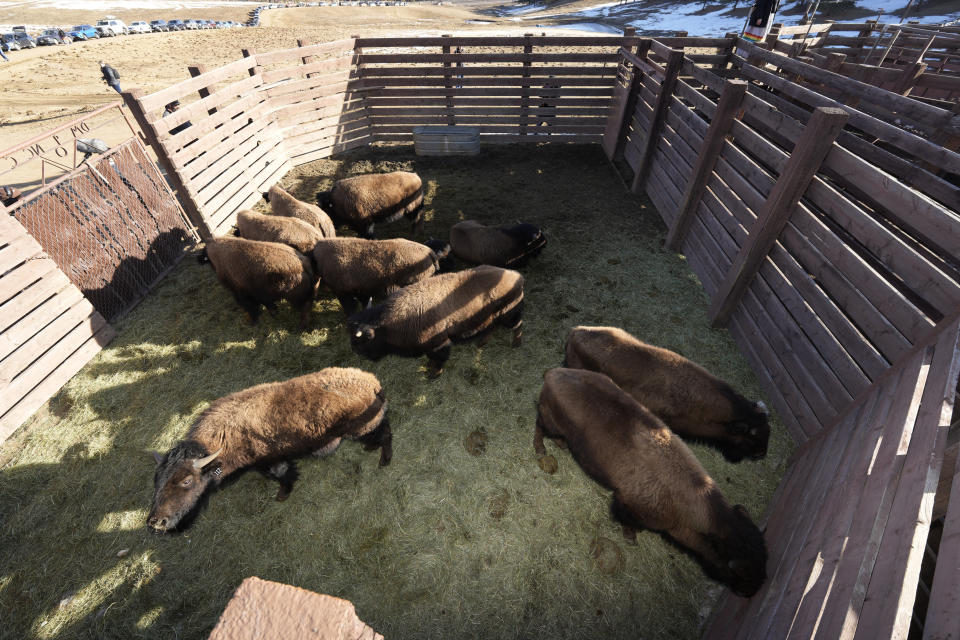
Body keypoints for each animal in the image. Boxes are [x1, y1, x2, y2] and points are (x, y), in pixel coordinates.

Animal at [148, 368, 392, 532]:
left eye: (187, 480)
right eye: (157, 480)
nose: (156, 521)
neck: (225, 436)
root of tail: (373, 383)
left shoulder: (270, 461)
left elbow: (282, 475)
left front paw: (282, 495)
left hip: (362, 429)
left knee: (385, 433)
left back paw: (383, 460)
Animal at [346, 264, 524, 376]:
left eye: (366, 338)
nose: (354, 349)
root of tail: (516, 276)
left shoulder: (439, 344)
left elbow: (438, 359)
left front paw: (433, 374)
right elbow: (431, 358)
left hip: (509, 315)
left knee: (517, 325)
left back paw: (515, 344)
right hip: (492, 318)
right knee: (492, 327)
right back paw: (481, 343)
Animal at [536, 368, 768, 596]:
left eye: (763, 559)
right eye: (738, 572)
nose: (751, 592)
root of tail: (554, 373)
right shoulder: (627, 505)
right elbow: (627, 522)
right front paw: (631, 538)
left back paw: (561, 445)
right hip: (548, 422)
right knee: (539, 430)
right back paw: (540, 450)